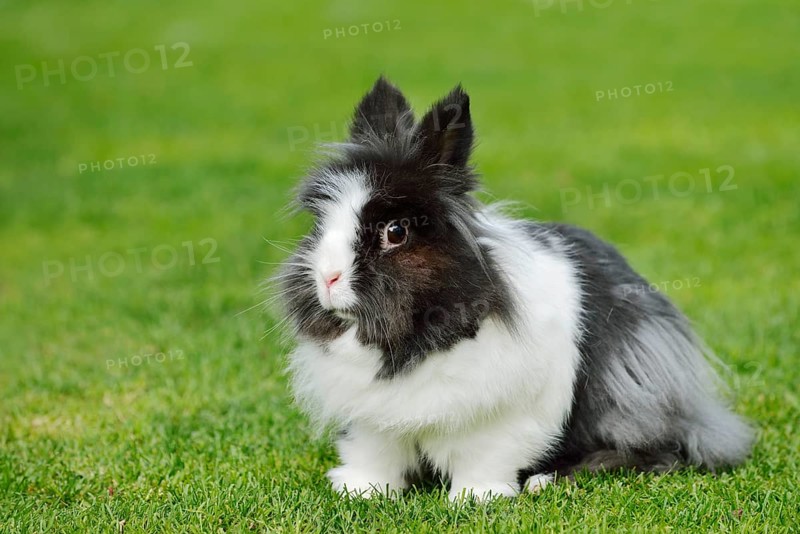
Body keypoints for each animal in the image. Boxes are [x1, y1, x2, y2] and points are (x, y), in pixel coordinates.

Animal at [275, 76, 754, 501]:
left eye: (396, 232)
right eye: (321, 224)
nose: (327, 278)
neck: (411, 342)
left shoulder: (501, 419)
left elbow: (484, 457)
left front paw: (476, 498)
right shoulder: (370, 421)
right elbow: (374, 456)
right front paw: (362, 492)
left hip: (631, 398)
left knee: (656, 451)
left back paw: (546, 481)